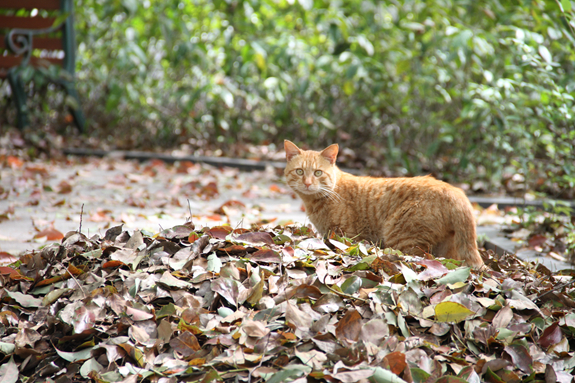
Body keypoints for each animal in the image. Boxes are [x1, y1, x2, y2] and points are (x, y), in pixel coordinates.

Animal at [286, 140, 484, 268]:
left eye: (318, 173)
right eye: (299, 171)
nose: (307, 183)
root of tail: (455, 191)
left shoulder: (346, 237)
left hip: (403, 239)